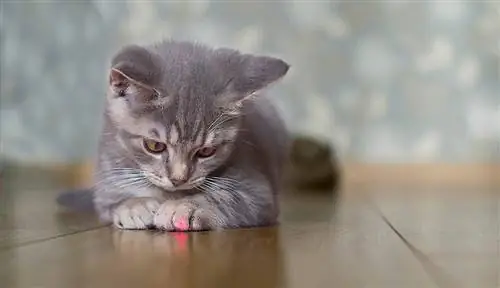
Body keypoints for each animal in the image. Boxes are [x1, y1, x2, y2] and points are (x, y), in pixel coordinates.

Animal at [56, 40, 292, 232]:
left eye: (207, 151)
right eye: (154, 146)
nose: (178, 179)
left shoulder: (257, 190)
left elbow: (229, 196)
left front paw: (185, 207)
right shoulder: (107, 183)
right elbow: (112, 202)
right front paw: (134, 205)